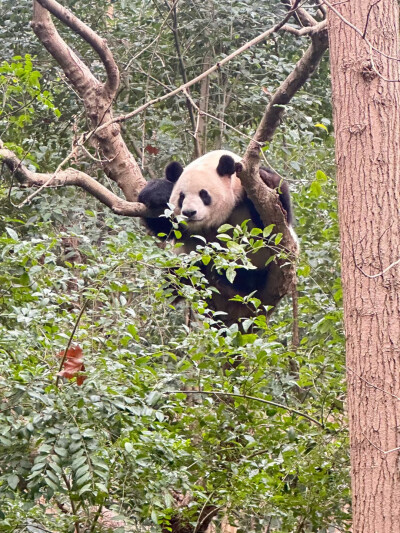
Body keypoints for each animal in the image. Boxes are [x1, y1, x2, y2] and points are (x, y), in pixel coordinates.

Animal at [139, 148, 296, 318]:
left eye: (204, 194)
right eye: (181, 197)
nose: (189, 212)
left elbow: (276, 224)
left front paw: (266, 180)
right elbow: (165, 227)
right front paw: (156, 192)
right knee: (178, 269)